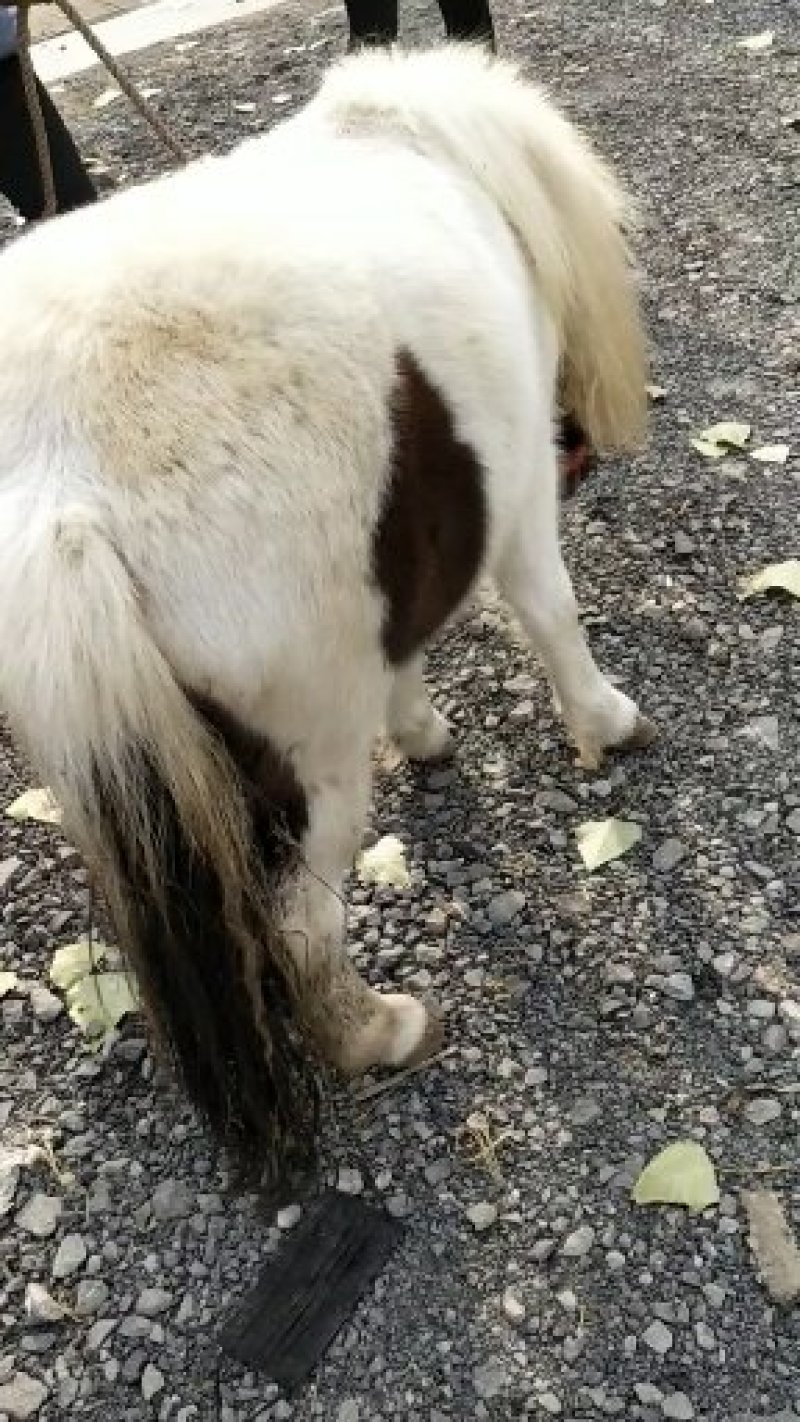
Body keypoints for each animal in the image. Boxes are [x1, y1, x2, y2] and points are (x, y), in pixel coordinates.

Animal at [0, 45, 654, 1183]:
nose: (586, 446)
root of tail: (60, 485)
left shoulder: (386, 565)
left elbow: (404, 655)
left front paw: (426, 733)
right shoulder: (519, 494)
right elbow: (550, 612)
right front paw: (605, 723)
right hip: (308, 763)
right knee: (300, 927)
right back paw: (378, 1034)